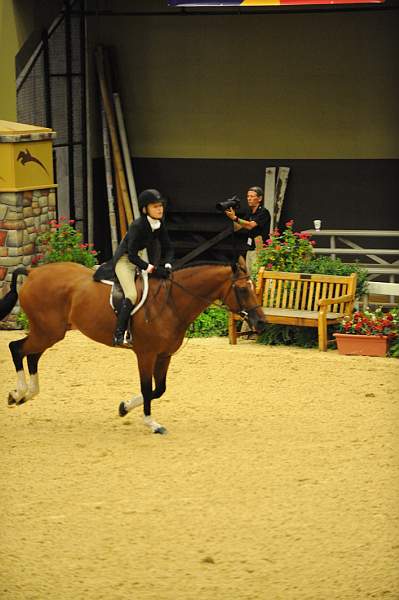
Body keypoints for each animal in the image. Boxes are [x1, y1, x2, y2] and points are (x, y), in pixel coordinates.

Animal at [2, 260, 268, 434]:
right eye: (242, 289)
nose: (261, 322)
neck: (170, 303)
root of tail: (33, 272)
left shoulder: (164, 355)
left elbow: (159, 389)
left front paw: (124, 408)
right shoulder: (146, 354)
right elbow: (147, 388)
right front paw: (151, 422)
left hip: (50, 333)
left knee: (31, 355)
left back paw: (26, 395)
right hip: (47, 332)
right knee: (17, 348)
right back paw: (18, 393)